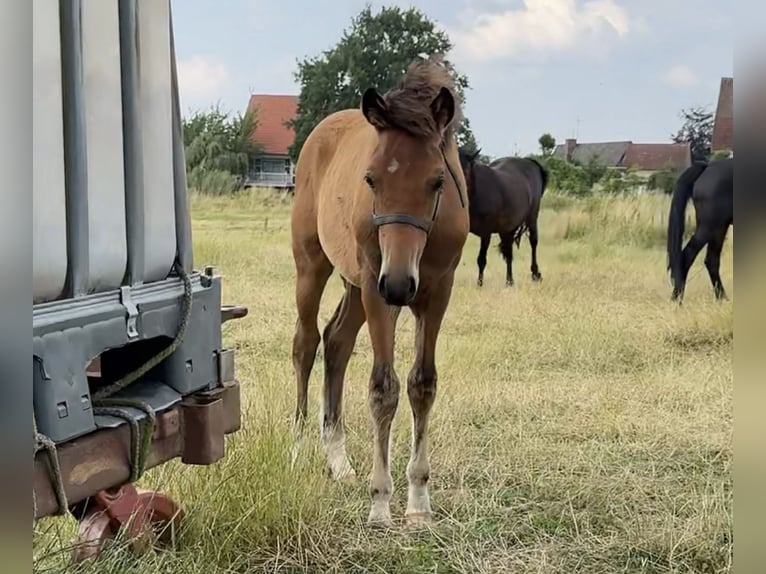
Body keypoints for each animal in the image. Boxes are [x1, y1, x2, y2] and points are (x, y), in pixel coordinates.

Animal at [290, 57, 469, 527]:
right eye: (370, 179)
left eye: (438, 181)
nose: (400, 284)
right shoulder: (376, 285)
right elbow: (383, 388)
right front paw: (380, 502)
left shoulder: (437, 292)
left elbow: (422, 384)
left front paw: (419, 503)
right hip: (315, 266)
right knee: (306, 343)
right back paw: (297, 447)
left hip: (356, 285)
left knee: (335, 342)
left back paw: (338, 461)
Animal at [458, 148, 548, 286]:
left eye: (466, 171)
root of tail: (531, 163)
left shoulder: (486, 232)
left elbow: (481, 259)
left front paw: (479, 284)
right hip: (507, 228)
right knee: (509, 252)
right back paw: (509, 281)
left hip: (532, 217)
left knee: (533, 242)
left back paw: (535, 273)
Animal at [667, 157, 733, 302]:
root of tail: (707, 167)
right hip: (709, 227)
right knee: (687, 256)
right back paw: (676, 299)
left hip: (719, 228)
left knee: (711, 260)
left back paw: (722, 299)